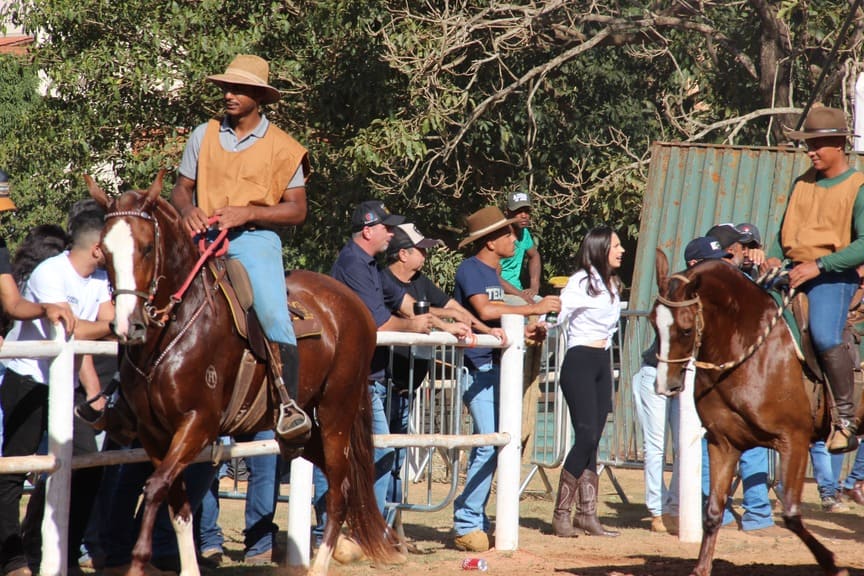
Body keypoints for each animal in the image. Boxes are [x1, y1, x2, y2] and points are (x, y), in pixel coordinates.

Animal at [85, 172, 401, 576]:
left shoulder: (199, 423)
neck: (176, 327)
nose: (128, 326)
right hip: (305, 434)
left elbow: (154, 487)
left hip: (337, 413)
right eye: (103, 251)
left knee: (339, 492)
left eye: (145, 248)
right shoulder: (154, 434)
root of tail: (354, 305)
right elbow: (177, 504)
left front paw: (139, 562)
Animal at [650, 249, 848, 576]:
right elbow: (713, 511)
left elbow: (792, 514)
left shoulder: (793, 441)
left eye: (686, 329)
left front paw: (831, 562)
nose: (665, 385)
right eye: (654, 323)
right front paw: (701, 568)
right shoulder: (723, 444)